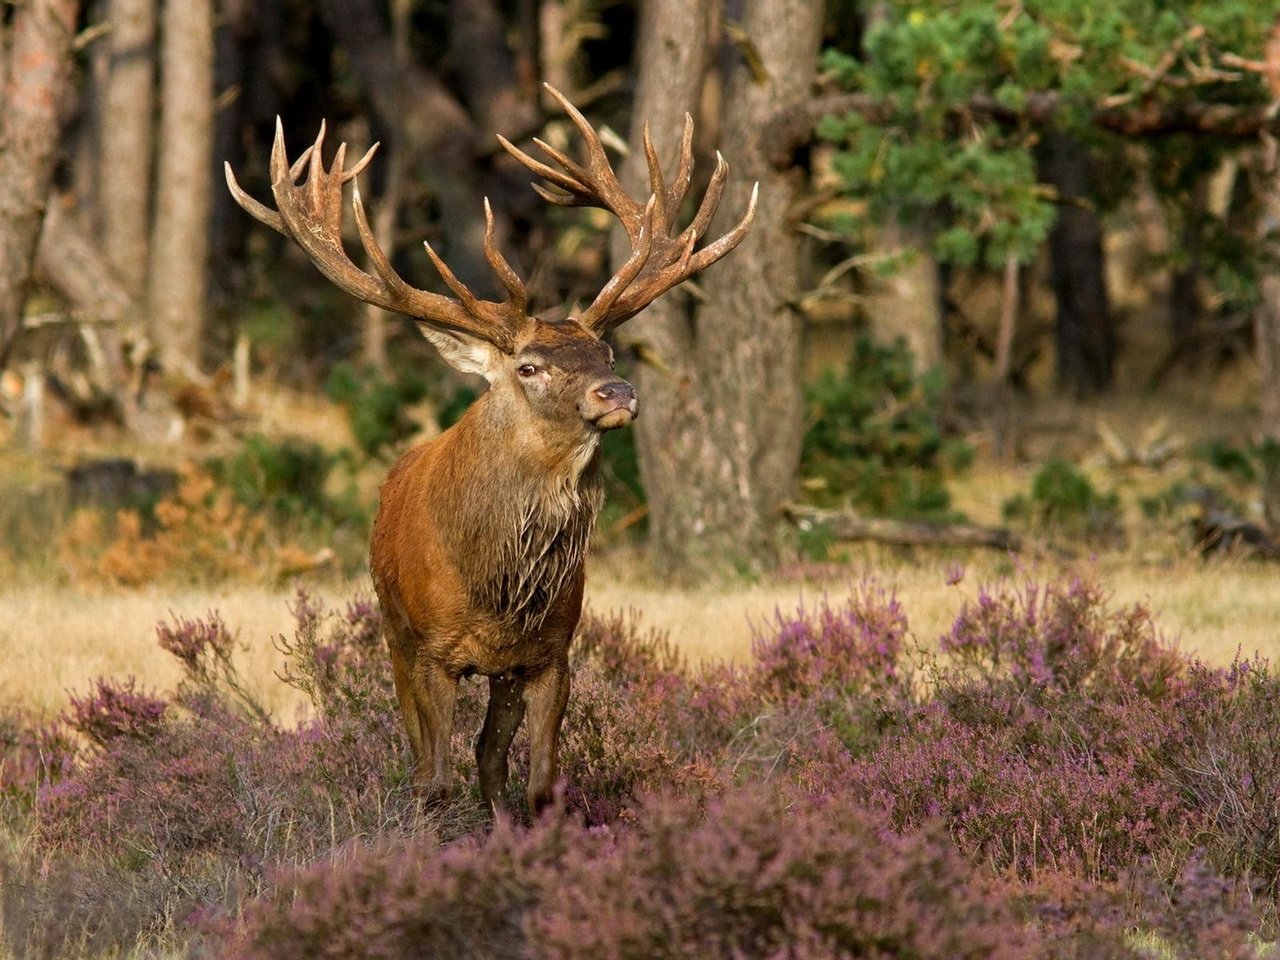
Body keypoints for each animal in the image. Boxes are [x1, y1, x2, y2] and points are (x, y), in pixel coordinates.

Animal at [225, 86, 752, 814]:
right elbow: (434, 778)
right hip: (392, 629)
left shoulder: (551, 651)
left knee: (489, 759)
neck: (497, 590)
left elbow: (537, 781)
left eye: (608, 353)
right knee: (426, 760)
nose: (618, 392)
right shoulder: (430, 650)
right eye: (529, 366)